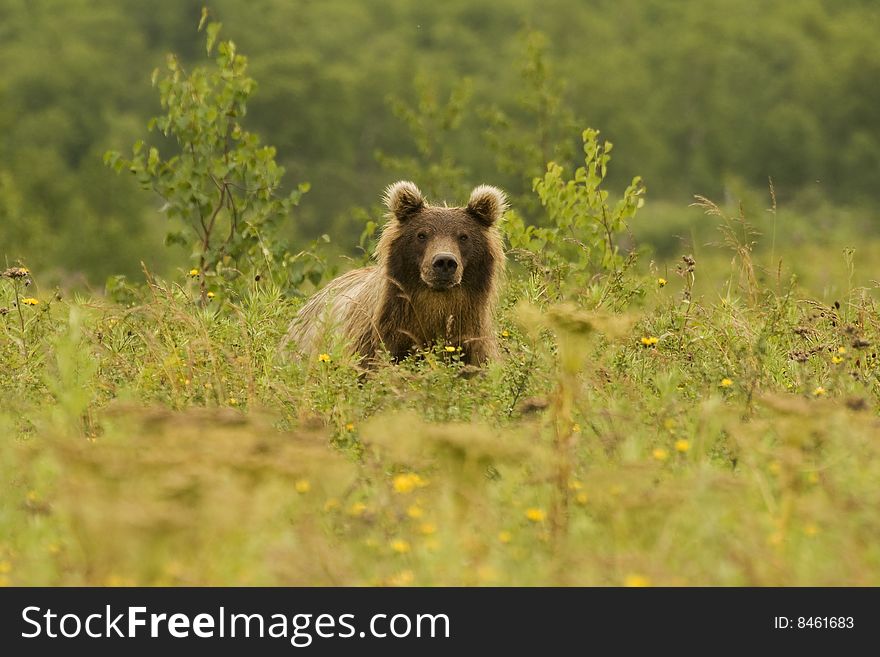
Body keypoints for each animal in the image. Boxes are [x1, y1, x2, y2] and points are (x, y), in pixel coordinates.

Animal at [288, 181, 508, 364]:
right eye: (422, 234)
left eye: (463, 236)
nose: (444, 261)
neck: (434, 307)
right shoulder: (380, 337)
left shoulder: (471, 338)